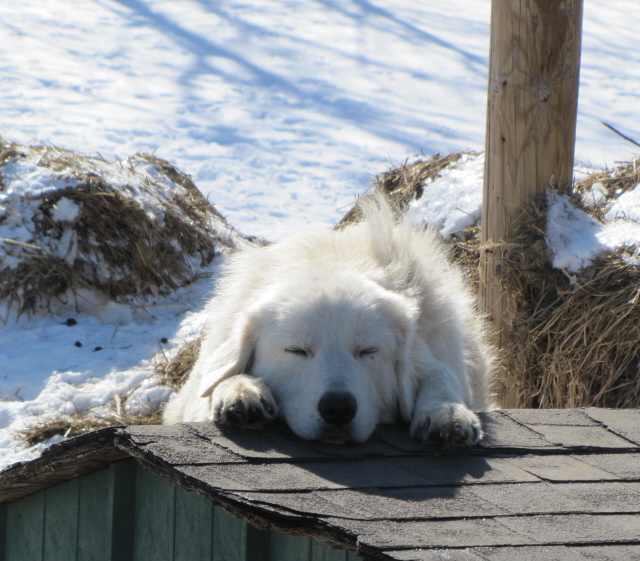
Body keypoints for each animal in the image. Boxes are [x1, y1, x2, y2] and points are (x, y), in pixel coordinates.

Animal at [164, 197, 496, 446]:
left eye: (367, 352)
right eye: (296, 351)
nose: (338, 408)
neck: (328, 262)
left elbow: (440, 377)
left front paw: (447, 413)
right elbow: (221, 379)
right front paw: (240, 392)